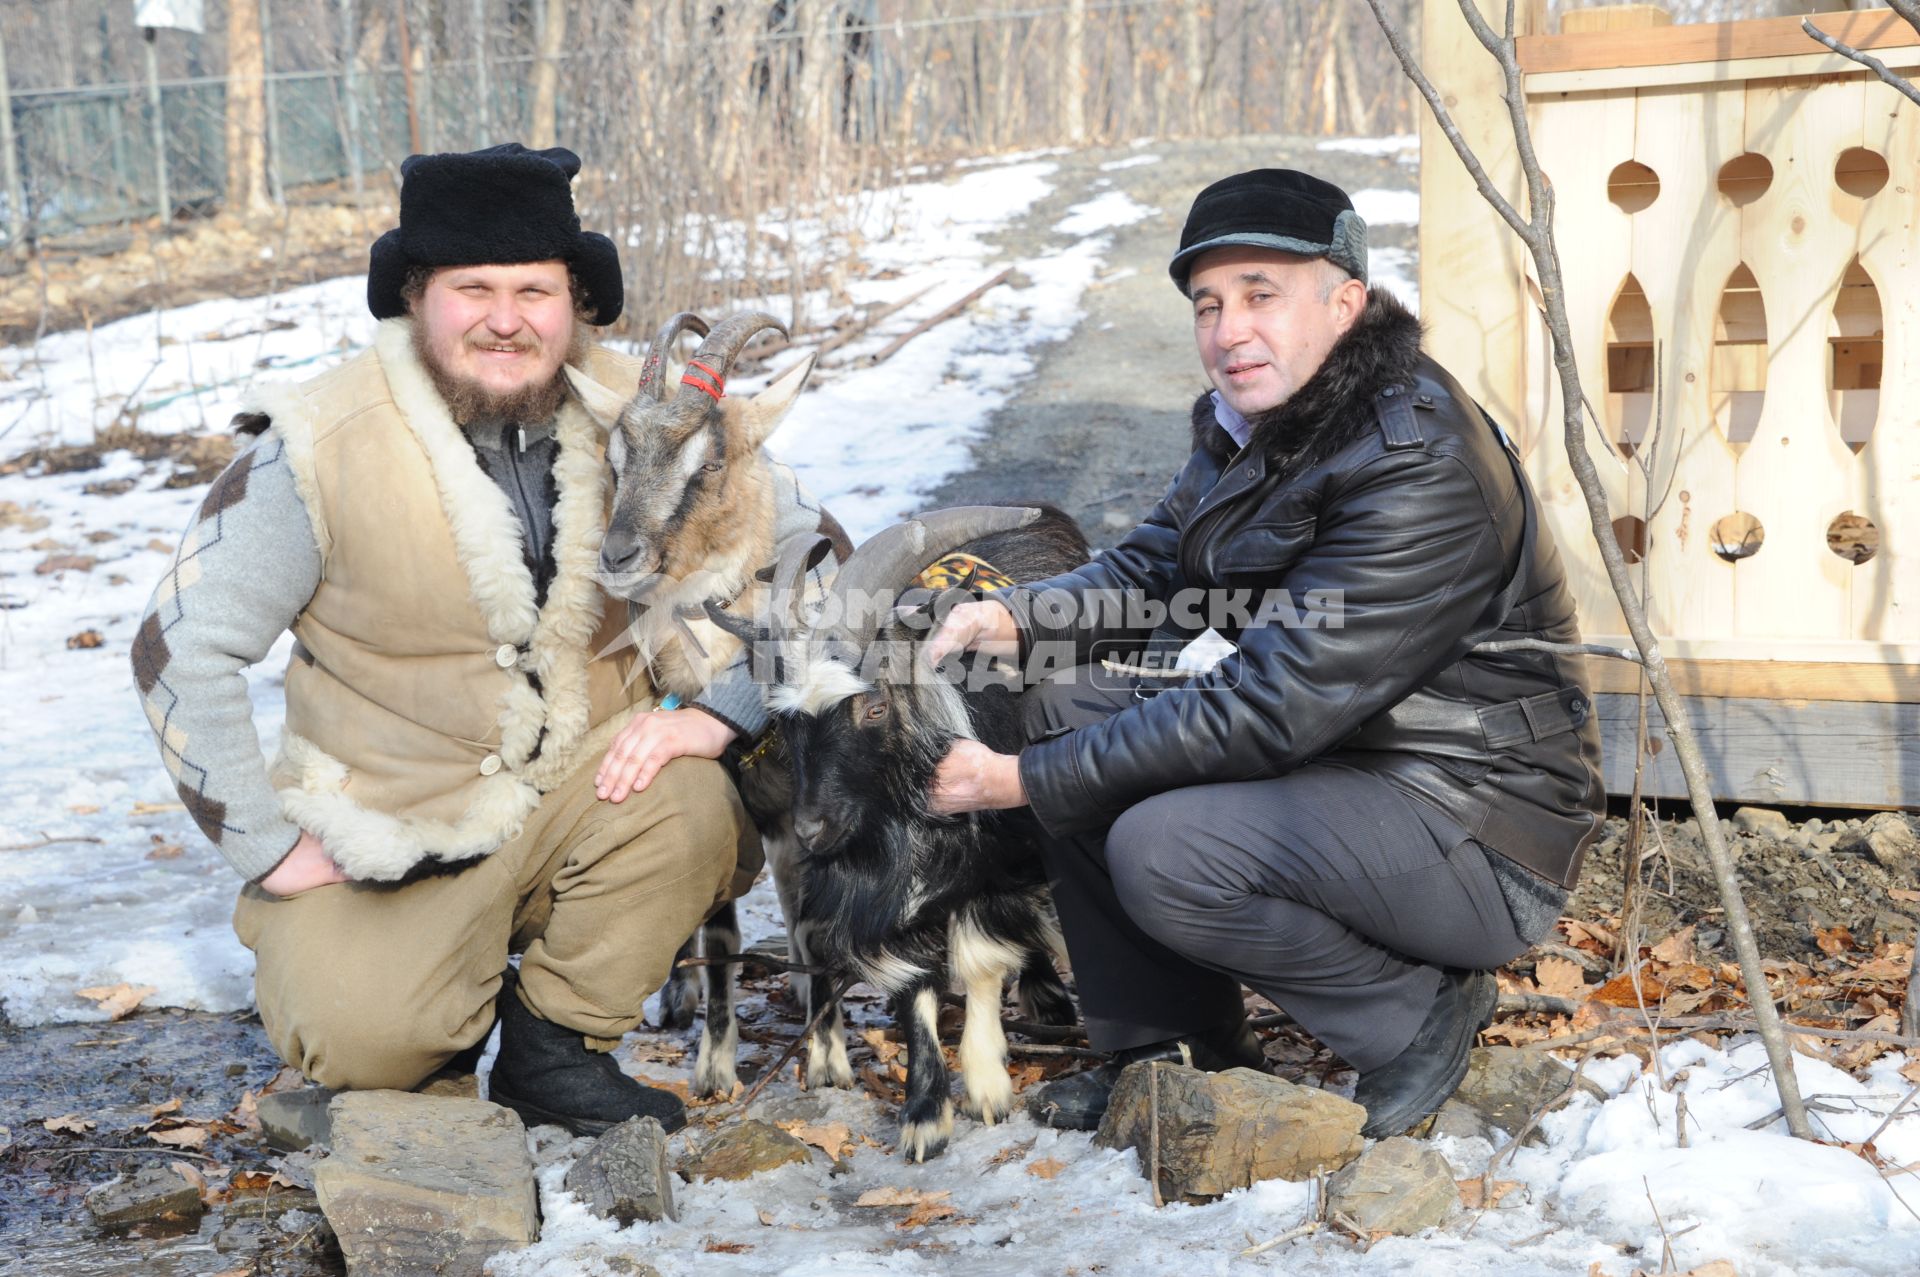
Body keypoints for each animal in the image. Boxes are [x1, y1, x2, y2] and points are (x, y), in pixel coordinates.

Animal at [725, 503, 1098, 1159]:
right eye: (785, 720)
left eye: (874, 706)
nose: (811, 830)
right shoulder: (887, 902)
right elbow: (914, 985)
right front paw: (925, 1115)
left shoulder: (993, 862)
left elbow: (980, 962)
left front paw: (987, 1088)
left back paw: (1048, 1002)